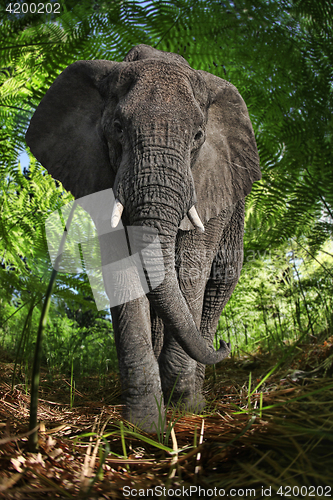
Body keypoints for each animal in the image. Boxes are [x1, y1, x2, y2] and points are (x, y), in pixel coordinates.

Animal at [25, 45, 260, 432]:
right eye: (118, 128)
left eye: (198, 136)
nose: (227, 346)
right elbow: (122, 267)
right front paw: (145, 427)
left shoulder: (211, 183)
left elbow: (191, 269)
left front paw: (184, 407)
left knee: (221, 280)